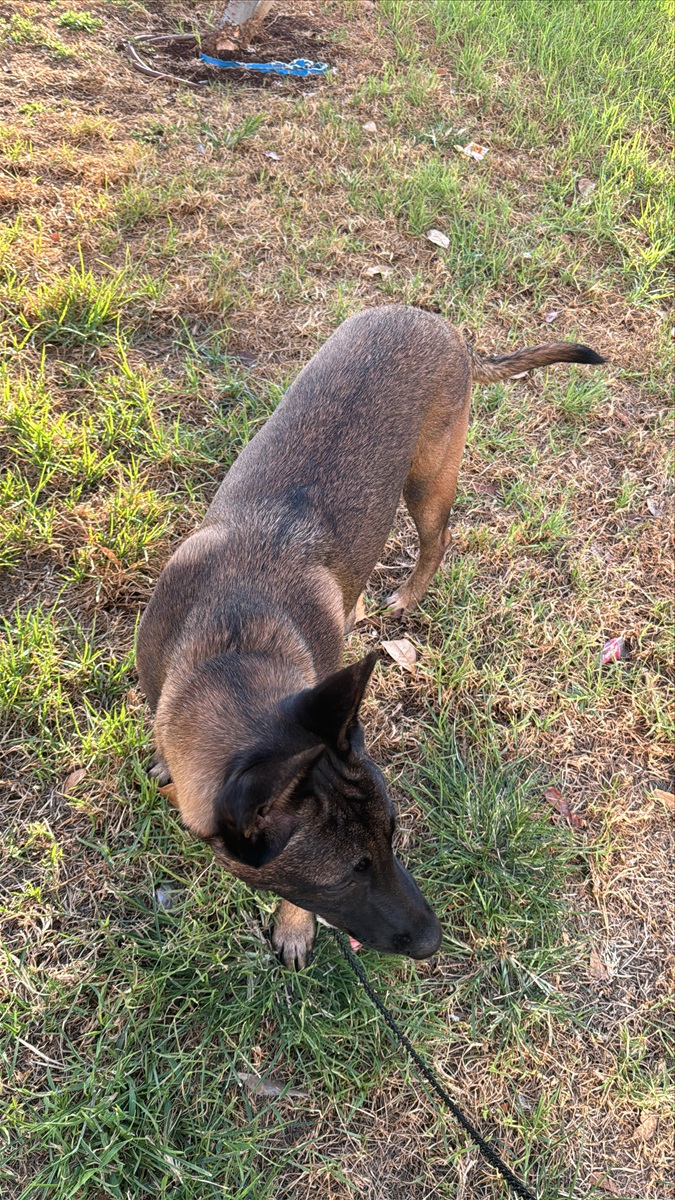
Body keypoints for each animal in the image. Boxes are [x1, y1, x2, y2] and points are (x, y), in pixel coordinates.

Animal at [138, 304, 605, 969]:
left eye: (394, 836)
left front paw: (294, 925)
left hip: (429, 483)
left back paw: (407, 594)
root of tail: (443, 325)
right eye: (345, 877)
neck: (232, 650)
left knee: (438, 541)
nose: (435, 943)